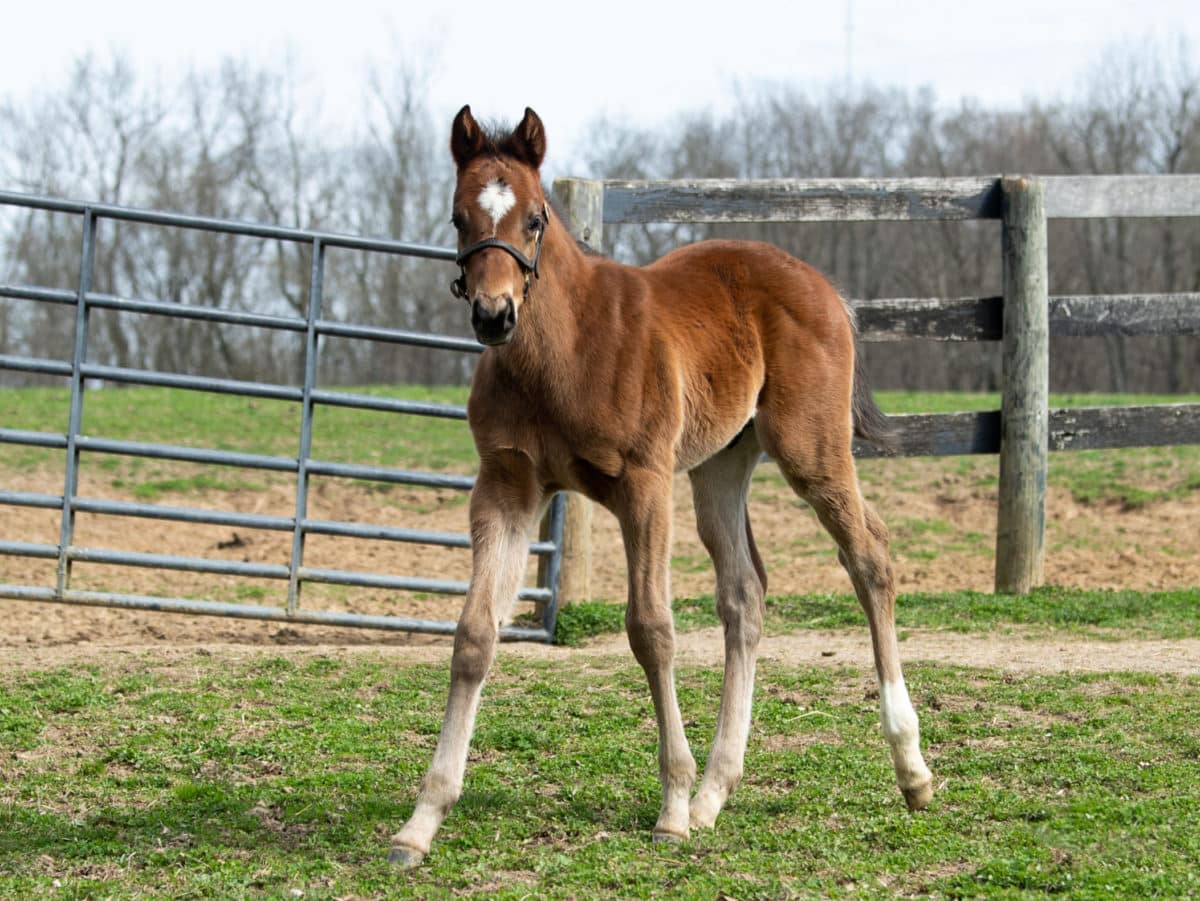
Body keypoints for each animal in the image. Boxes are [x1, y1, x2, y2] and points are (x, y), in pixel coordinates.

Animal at [388, 105, 931, 868]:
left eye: (534, 218)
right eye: (458, 217)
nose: (494, 315)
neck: (564, 350)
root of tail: (822, 285)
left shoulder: (643, 485)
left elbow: (651, 629)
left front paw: (670, 805)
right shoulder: (506, 488)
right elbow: (473, 635)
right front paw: (422, 819)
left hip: (810, 451)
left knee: (870, 558)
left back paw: (910, 769)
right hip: (719, 466)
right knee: (745, 594)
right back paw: (715, 793)